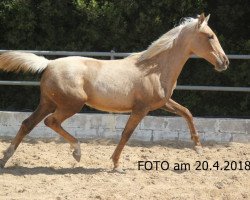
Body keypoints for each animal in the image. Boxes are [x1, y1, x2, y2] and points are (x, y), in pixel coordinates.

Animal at [0, 13, 229, 171]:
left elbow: (187, 113)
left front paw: (198, 148)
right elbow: (126, 133)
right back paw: (77, 152)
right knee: (51, 122)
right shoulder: (141, 108)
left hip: (48, 103)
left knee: (27, 124)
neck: (154, 68)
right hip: (71, 105)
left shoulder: (162, 103)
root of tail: (48, 63)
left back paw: (5, 159)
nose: (224, 62)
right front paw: (116, 165)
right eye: (210, 36)